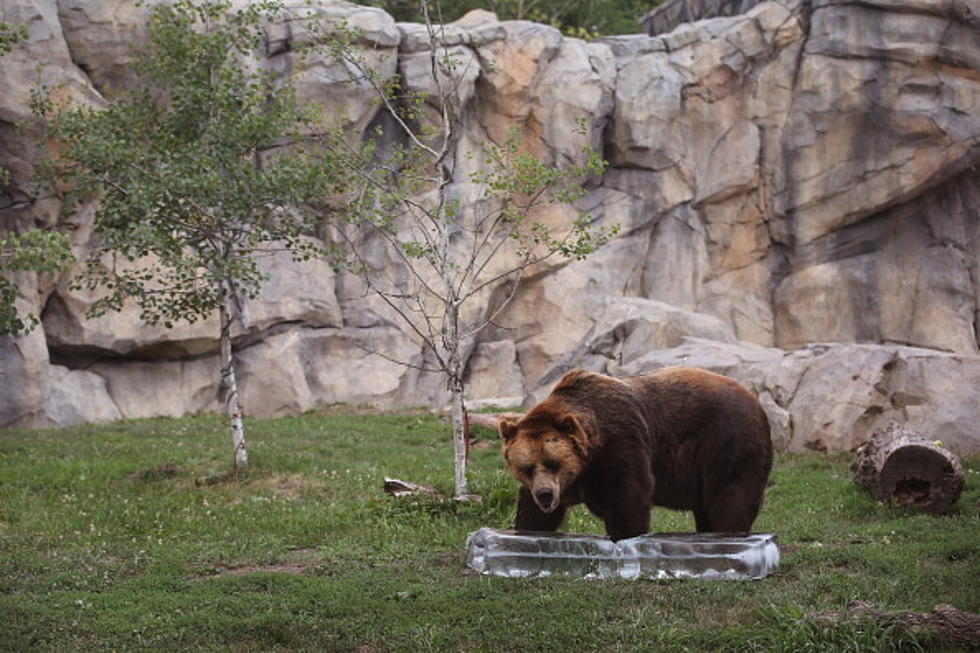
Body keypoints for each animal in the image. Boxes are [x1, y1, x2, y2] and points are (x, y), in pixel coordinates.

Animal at [498, 366, 772, 540]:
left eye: (554, 463)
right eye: (526, 467)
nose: (545, 494)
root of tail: (756, 402)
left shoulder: (620, 444)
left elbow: (627, 497)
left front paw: (626, 536)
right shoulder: (570, 482)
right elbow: (533, 513)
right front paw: (529, 529)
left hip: (726, 443)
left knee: (730, 497)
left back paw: (728, 533)